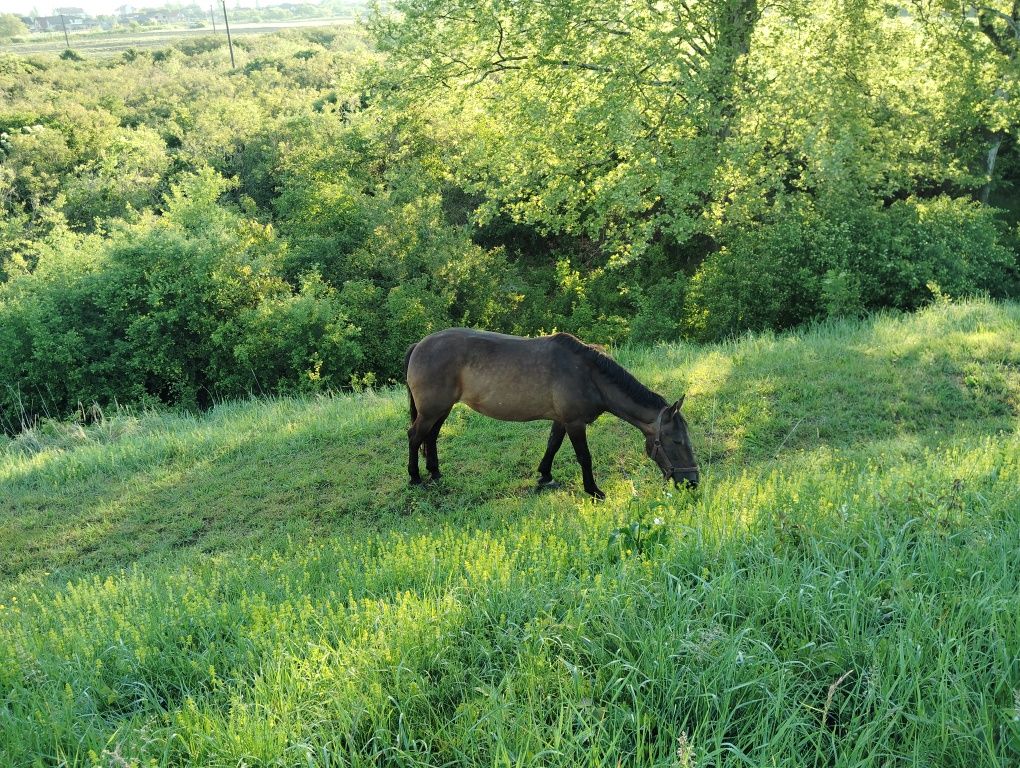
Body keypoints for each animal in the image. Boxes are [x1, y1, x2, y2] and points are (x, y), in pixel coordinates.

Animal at [401, 328, 697, 497]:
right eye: (677, 442)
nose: (693, 483)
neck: (589, 375)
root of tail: (418, 345)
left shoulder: (561, 420)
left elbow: (552, 445)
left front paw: (545, 476)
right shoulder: (575, 423)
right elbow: (584, 457)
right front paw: (593, 490)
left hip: (441, 409)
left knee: (431, 437)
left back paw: (435, 473)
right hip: (431, 410)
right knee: (415, 436)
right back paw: (415, 477)